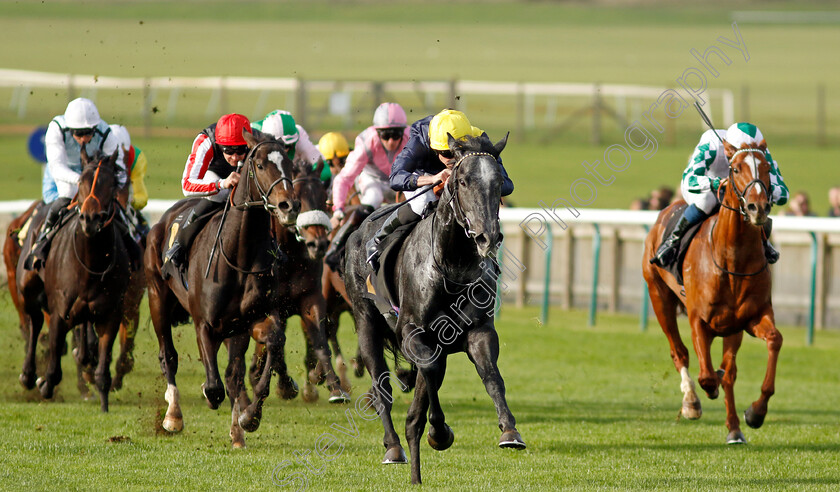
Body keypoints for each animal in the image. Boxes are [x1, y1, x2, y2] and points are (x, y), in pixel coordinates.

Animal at [15, 149, 136, 412]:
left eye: (112, 184)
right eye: (81, 182)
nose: (90, 219)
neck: (91, 264)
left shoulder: (110, 314)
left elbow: (102, 368)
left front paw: (104, 404)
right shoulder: (60, 312)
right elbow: (53, 367)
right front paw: (44, 382)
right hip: (27, 286)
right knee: (35, 321)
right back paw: (28, 374)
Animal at [146, 132, 300, 450]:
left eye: (290, 164)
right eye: (260, 164)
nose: (289, 206)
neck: (239, 254)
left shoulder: (248, 320)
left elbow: (268, 345)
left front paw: (248, 419)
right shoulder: (204, 323)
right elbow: (215, 385)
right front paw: (210, 397)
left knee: (232, 374)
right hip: (157, 298)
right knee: (168, 355)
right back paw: (173, 415)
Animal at [344, 134, 520, 484]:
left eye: (498, 183)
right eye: (463, 181)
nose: (487, 237)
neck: (453, 267)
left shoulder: (479, 331)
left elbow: (491, 375)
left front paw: (509, 431)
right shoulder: (411, 332)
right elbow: (429, 371)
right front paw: (438, 432)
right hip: (365, 321)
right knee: (381, 386)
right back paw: (393, 447)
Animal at [644, 139, 780, 446]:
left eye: (767, 167)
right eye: (736, 168)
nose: (757, 208)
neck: (732, 259)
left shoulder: (751, 317)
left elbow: (773, 341)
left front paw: (755, 413)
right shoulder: (698, 320)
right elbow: (706, 375)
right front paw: (702, 394)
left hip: (732, 328)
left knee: (729, 372)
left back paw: (734, 430)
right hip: (659, 298)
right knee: (679, 352)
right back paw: (691, 402)